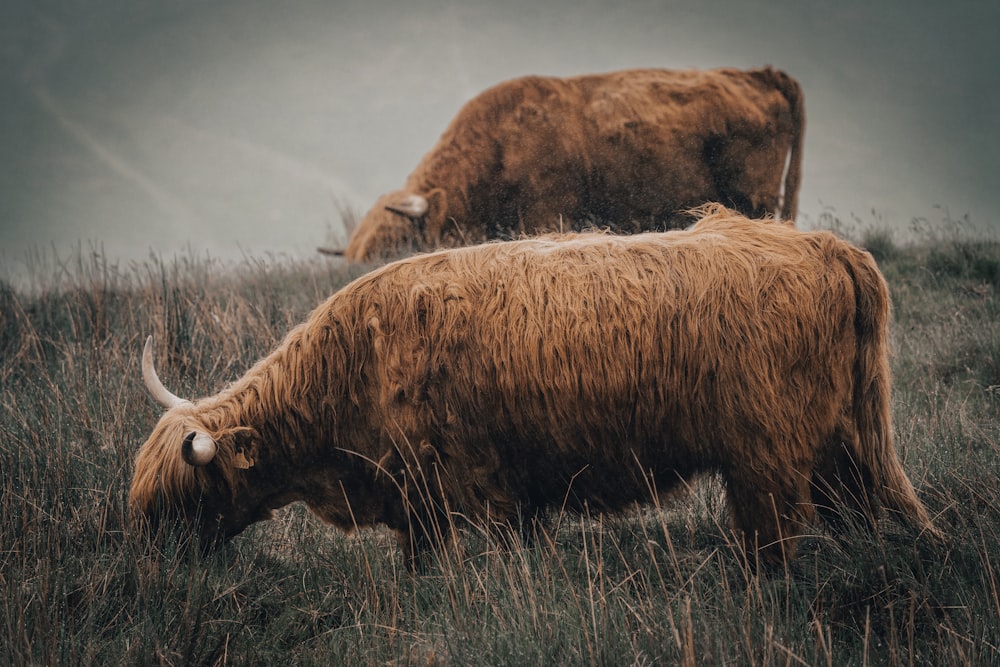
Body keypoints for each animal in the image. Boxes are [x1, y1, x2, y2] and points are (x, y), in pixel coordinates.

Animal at [131, 205, 936, 568]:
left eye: (184, 498)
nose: (157, 572)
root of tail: (822, 244)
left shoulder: (452, 486)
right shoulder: (504, 490)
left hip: (768, 451)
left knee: (776, 532)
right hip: (841, 439)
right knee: (862, 507)